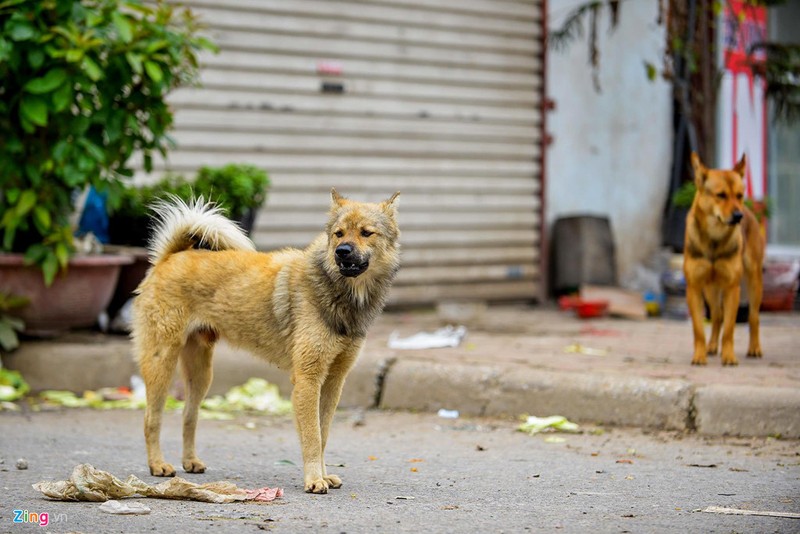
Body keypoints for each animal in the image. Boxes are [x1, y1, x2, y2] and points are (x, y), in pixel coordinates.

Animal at [134, 191, 404, 496]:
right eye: (338, 233)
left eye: (366, 233)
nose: (342, 251)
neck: (335, 288)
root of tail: (171, 257)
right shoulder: (308, 380)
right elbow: (312, 436)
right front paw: (314, 479)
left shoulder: (333, 381)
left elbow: (322, 434)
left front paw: (323, 475)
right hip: (161, 364)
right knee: (151, 419)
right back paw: (158, 464)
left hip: (201, 374)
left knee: (188, 416)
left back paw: (190, 461)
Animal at [684, 153, 764, 366]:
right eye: (720, 195)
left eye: (739, 195)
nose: (738, 216)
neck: (714, 238)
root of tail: (750, 212)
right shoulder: (694, 287)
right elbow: (698, 328)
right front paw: (699, 355)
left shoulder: (732, 288)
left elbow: (729, 328)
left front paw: (728, 356)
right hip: (710, 288)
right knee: (717, 315)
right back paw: (712, 346)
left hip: (754, 281)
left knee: (753, 316)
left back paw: (754, 348)